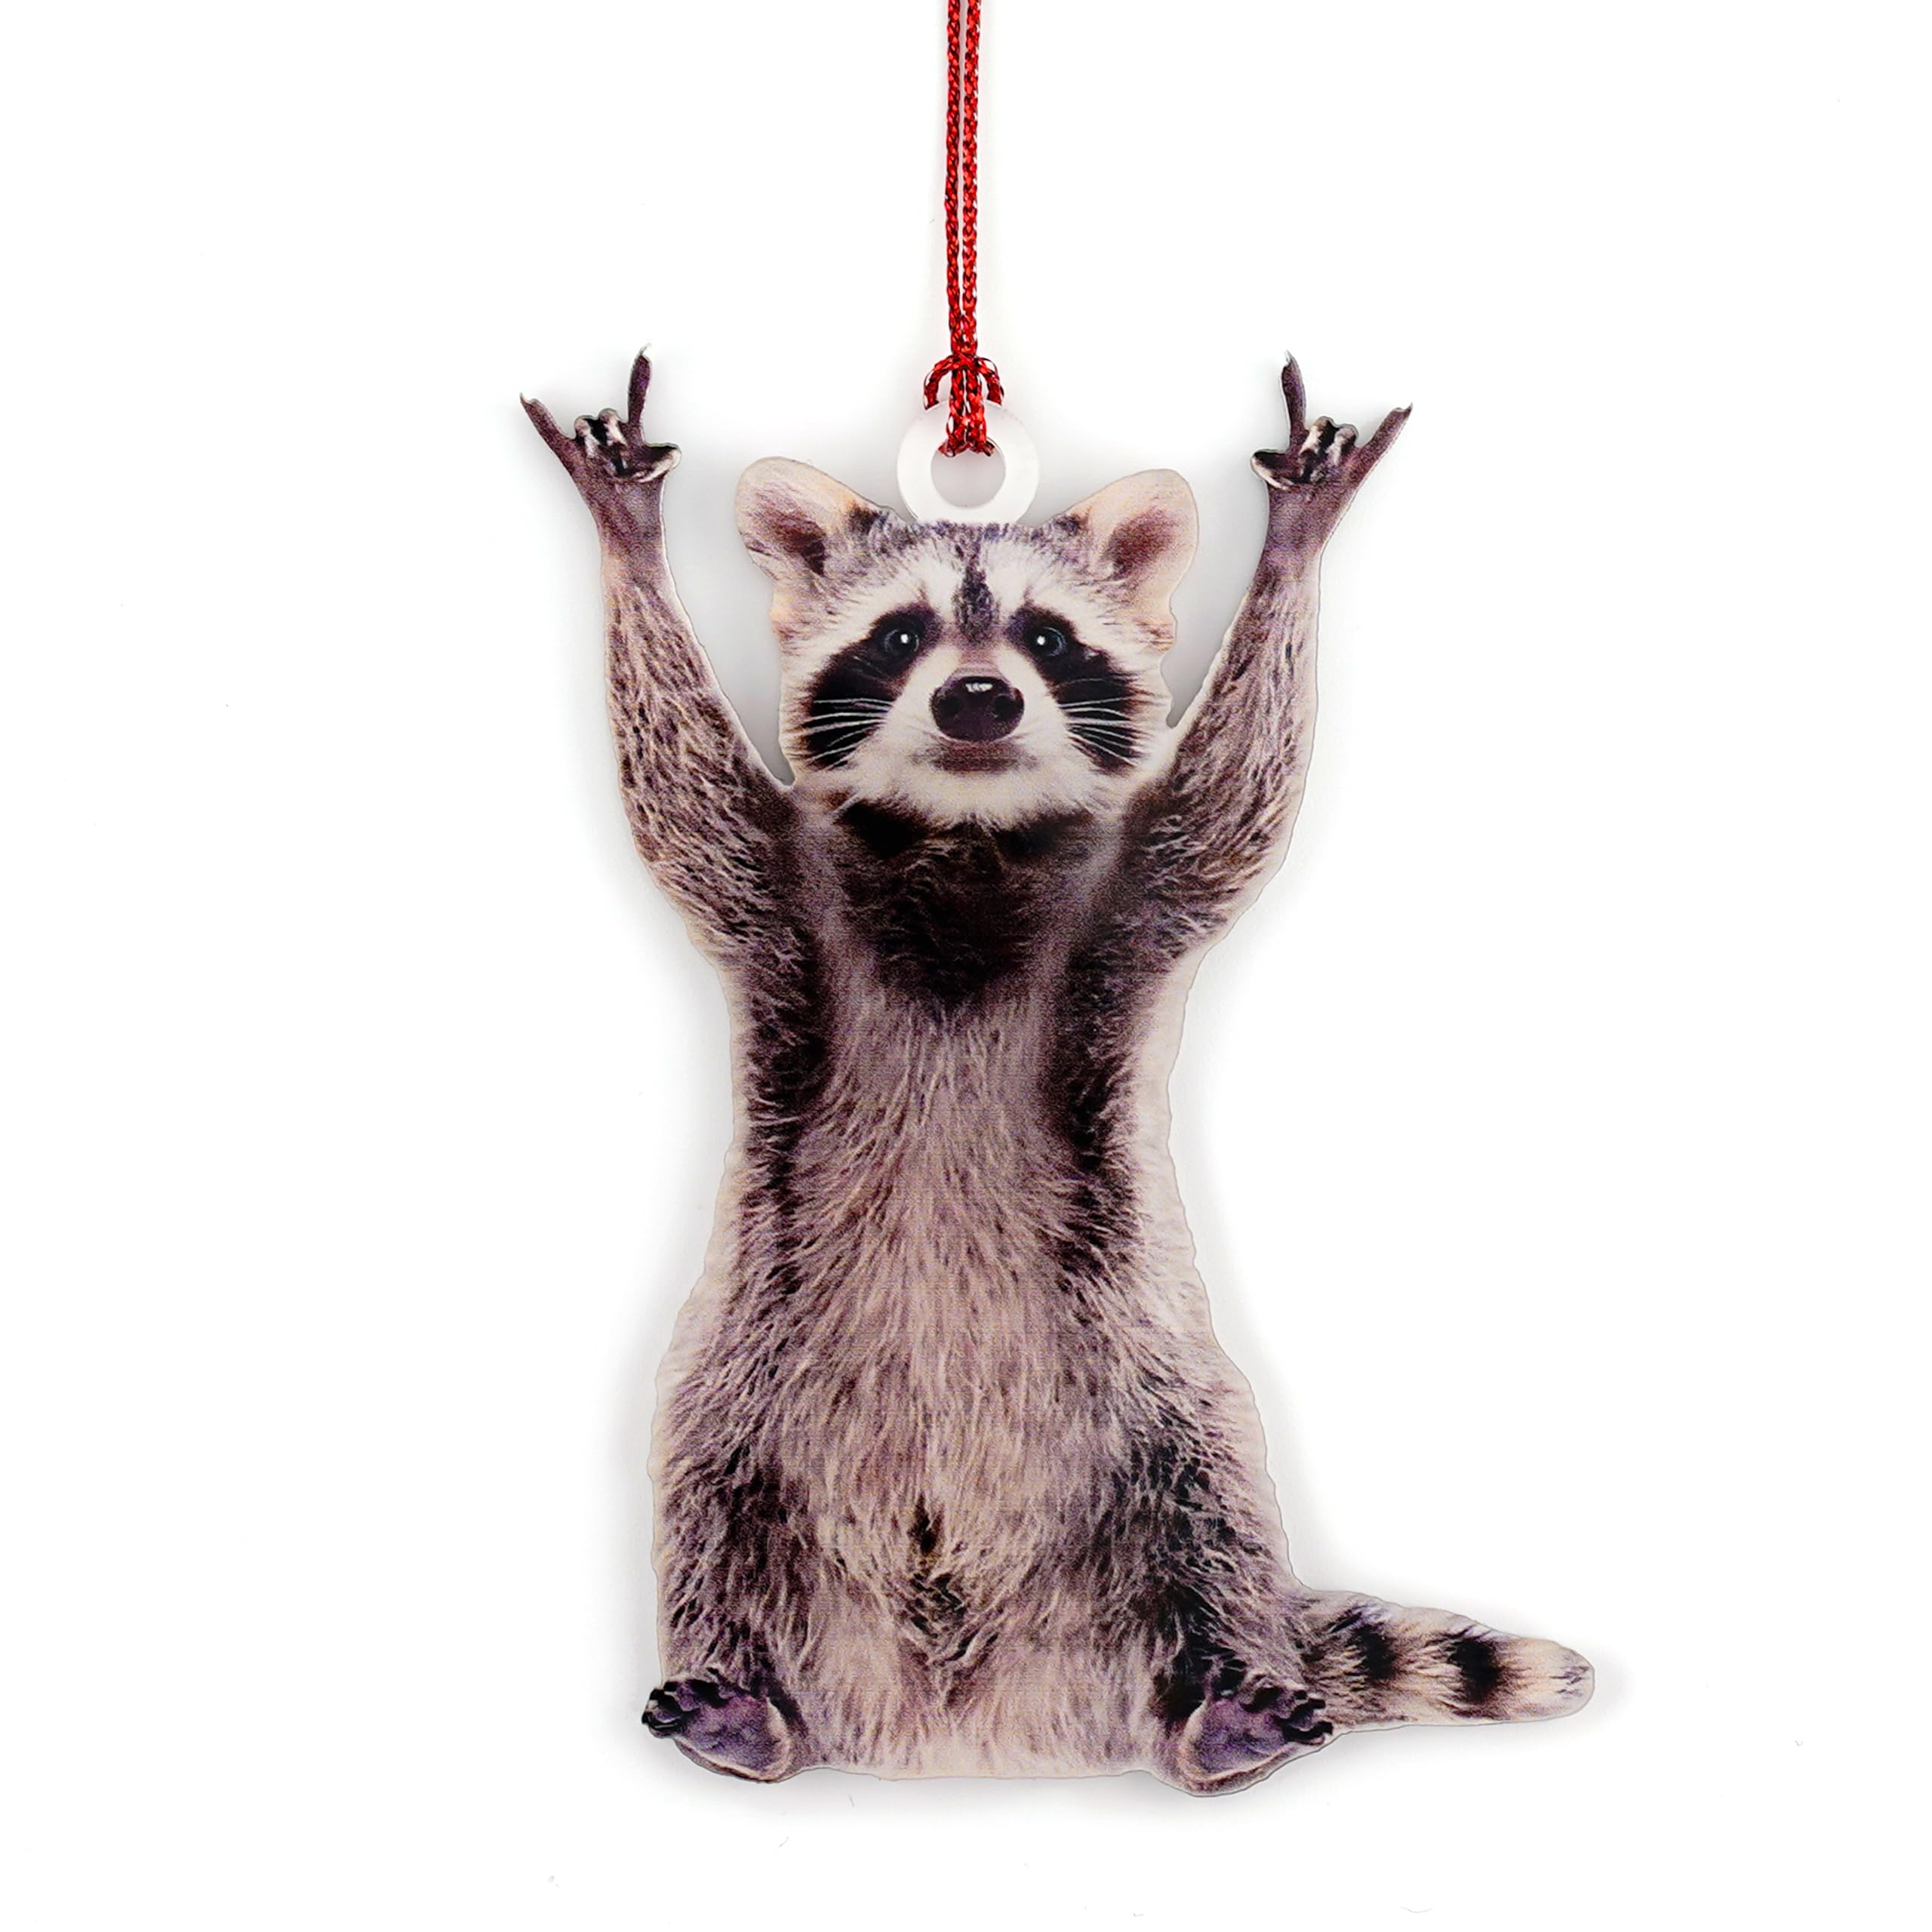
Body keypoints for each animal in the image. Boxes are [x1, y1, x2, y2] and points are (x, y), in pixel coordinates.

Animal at [524, 354, 1592, 1793]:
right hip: (748, 1368)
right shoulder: (778, 893)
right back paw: (744, 1701)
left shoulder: (1130, 902)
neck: (962, 843)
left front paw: (1292, 550)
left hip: (1150, 1389)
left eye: (1043, 639)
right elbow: (679, 795)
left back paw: (1218, 1709)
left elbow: (1233, 798)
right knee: (707, 1493)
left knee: (1215, 1503)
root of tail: (969, 1722)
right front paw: (628, 540)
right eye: (902, 637)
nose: (978, 700)